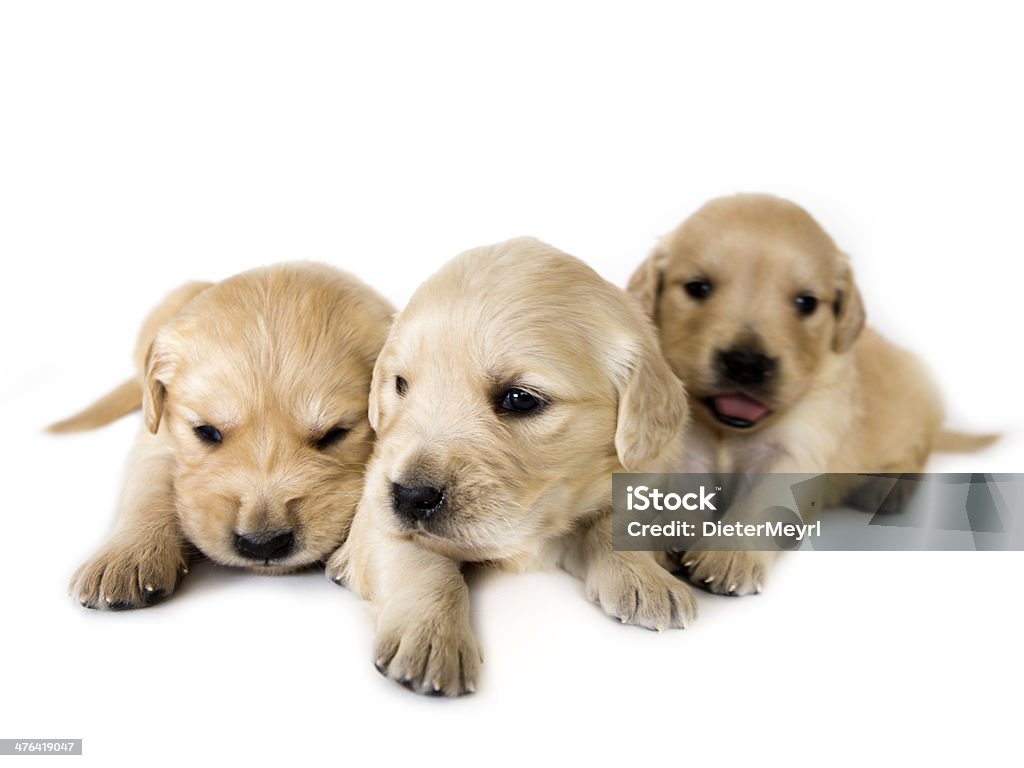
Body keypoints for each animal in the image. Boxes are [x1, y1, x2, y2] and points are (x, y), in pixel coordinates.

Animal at [50, 264, 395, 614]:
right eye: (206, 432)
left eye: (334, 434)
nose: (264, 544)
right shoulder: (156, 435)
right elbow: (149, 484)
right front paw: (126, 555)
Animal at [327, 236, 696, 696]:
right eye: (400, 385)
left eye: (520, 398)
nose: (410, 496)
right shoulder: (375, 503)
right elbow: (420, 560)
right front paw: (431, 636)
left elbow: (613, 519)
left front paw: (643, 576)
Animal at [626, 195, 995, 598]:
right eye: (697, 288)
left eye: (806, 303)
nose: (746, 364)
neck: (731, 430)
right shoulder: (688, 447)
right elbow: (680, 489)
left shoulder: (798, 448)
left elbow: (763, 501)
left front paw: (730, 556)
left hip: (920, 400)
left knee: (917, 452)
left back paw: (889, 487)